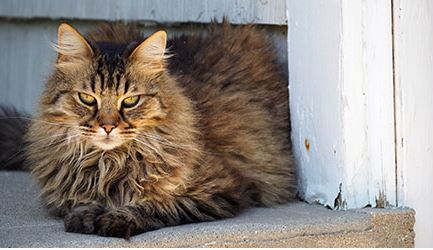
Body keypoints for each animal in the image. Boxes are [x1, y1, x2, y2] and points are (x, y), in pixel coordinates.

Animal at [0, 19, 294, 238]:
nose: (107, 127)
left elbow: (156, 204)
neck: (110, 162)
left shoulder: (219, 188)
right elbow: (81, 200)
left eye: (130, 101)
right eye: (87, 99)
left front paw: (115, 218)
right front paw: (86, 214)